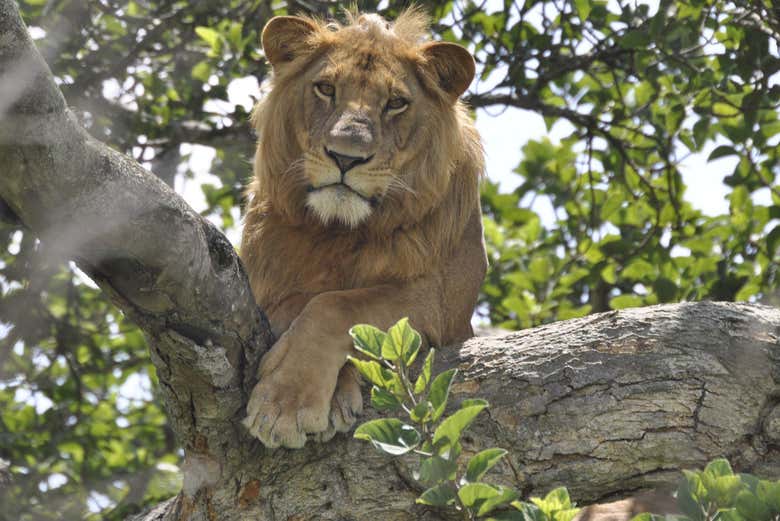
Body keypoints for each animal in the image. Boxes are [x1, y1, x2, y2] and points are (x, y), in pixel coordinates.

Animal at [240, 8, 487, 449]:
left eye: (396, 103)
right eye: (325, 89)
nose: (345, 157)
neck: (341, 231)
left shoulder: (438, 301)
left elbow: (335, 305)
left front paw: (285, 404)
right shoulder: (261, 288)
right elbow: (301, 301)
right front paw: (302, 399)